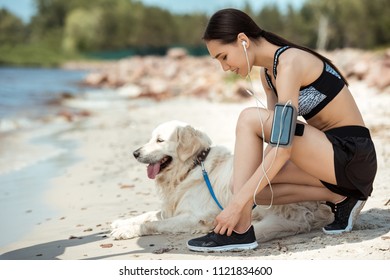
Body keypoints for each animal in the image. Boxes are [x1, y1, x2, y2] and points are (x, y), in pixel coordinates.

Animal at [110, 120, 332, 243]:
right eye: (150, 139)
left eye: (160, 140)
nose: (135, 153)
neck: (191, 168)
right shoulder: (172, 209)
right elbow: (147, 215)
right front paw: (121, 222)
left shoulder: (192, 216)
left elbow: (153, 224)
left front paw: (127, 231)